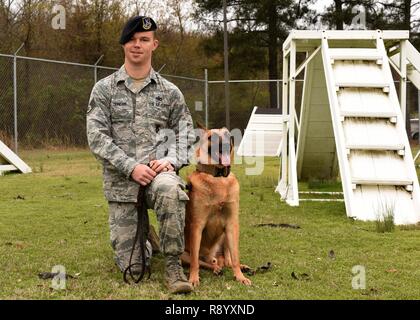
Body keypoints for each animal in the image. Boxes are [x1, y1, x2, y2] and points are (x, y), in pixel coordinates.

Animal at [180, 126, 251, 286]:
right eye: (211, 137)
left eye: (226, 134)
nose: (225, 141)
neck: (218, 178)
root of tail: (212, 256)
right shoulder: (197, 225)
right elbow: (195, 261)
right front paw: (193, 278)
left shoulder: (231, 224)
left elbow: (235, 257)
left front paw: (240, 276)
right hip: (183, 253)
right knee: (204, 262)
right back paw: (216, 268)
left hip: (225, 236)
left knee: (227, 260)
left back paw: (239, 267)